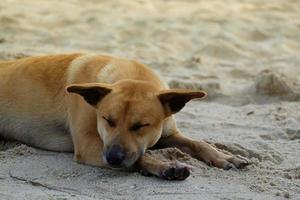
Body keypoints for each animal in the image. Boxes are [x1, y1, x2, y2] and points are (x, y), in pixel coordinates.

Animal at [0, 53, 248, 180]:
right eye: (107, 120)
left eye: (140, 126)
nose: (113, 158)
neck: (132, 75)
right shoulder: (90, 146)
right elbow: (139, 158)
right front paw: (164, 165)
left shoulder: (167, 135)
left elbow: (198, 144)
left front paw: (224, 156)